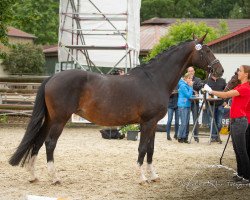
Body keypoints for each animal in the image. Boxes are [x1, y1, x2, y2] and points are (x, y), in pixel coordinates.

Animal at [9, 34, 224, 184]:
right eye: (206, 51)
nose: (219, 70)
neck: (154, 79)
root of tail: (52, 78)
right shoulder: (147, 122)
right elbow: (142, 148)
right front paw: (142, 178)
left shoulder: (154, 124)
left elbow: (151, 149)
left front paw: (153, 175)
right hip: (59, 120)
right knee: (49, 143)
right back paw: (54, 178)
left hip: (50, 119)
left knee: (37, 142)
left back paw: (33, 176)